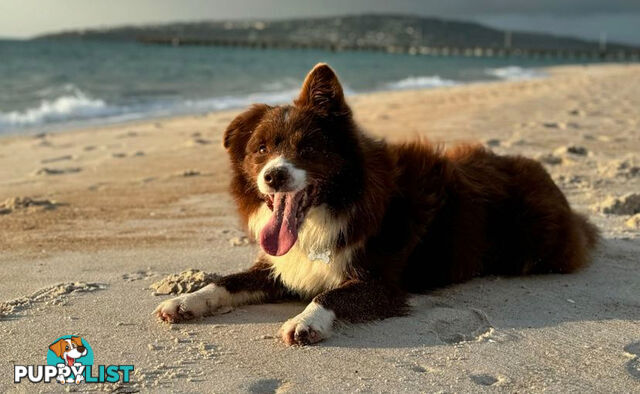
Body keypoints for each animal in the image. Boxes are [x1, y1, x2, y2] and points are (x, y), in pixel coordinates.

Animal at [156, 63, 600, 346]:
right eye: (261, 149)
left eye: (308, 147)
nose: (274, 176)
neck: (329, 211)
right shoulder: (283, 265)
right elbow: (228, 280)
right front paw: (185, 299)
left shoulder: (383, 282)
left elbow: (330, 296)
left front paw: (305, 320)